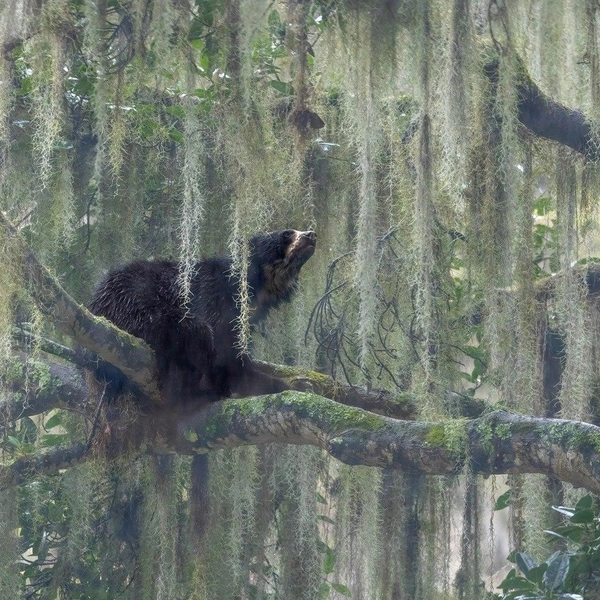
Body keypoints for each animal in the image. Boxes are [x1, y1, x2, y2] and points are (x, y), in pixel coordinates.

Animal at [89, 229, 316, 404]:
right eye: (287, 234)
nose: (311, 234)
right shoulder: (213, 298)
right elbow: (222, 353)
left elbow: (237, 359)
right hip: (135, 304)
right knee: (194, 332)